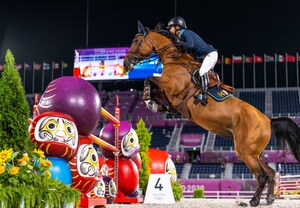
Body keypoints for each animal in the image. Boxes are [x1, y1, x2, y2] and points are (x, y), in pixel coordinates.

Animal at [123, 21, 300, 206]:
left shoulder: (172, 86)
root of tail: (268, 120)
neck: (174, 60)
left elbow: (149, 78)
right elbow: (156, 89)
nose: (126, 63)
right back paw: (270, 198)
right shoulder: (169, 93)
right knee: (270, 172)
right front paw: (157, 105)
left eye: (136, 41)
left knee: (262, 175)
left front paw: (148, 100)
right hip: (253, 153)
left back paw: (254, 200)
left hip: (245, 152)